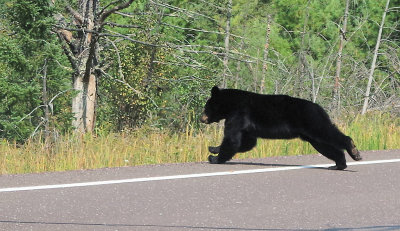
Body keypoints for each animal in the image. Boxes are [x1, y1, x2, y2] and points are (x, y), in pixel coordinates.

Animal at [200, 86, 362, 170]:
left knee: (328, 132)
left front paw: (214, 158)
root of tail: (319, 108)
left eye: (206, 107)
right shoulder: (246, 126)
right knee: (325, 145)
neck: (231, 104)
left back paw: (354, 151)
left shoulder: (238, 115)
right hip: (311, 135)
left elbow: (232, 140)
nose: (201, 118)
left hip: (312, 121)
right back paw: (339, 164)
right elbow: (247, 143)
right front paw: (213, 148)